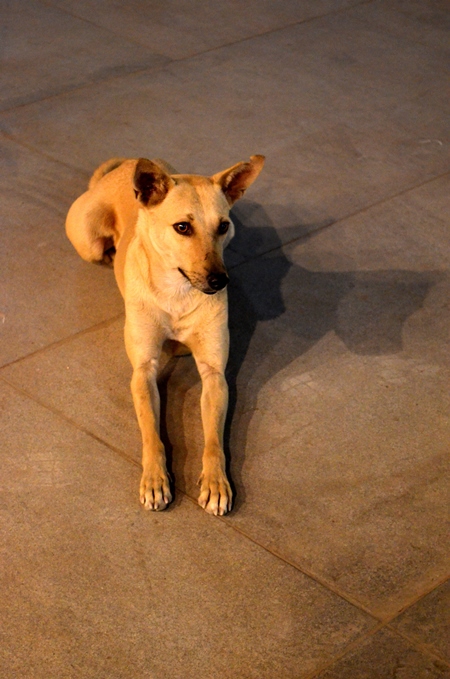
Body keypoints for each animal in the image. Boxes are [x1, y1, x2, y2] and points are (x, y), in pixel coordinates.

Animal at [65, 154, 266, 516]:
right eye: (182, 227)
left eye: (222, 226)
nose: (220, 281)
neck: (178, 291)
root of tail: (126, 163)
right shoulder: (143, 371)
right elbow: (151, 433)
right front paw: (155, 478)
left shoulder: (214, 374)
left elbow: (213, 440)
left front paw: (216, 482)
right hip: (87, 240)